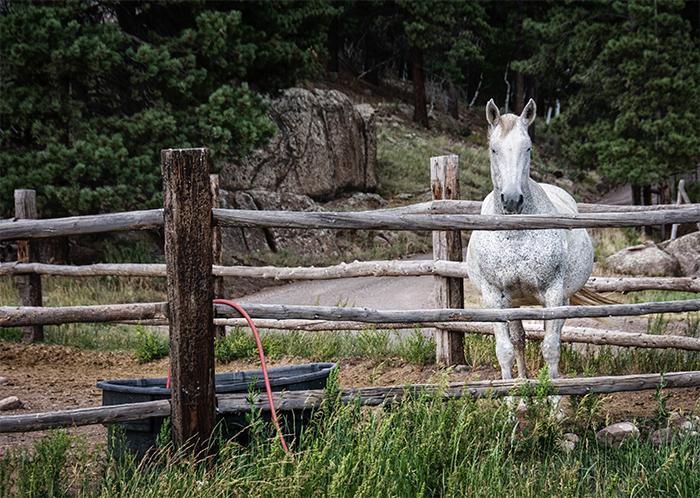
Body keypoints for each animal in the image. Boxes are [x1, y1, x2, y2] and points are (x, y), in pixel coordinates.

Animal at [468, 98, 592, 386]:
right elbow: (505, 350)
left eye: (528, 147)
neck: (515, 235)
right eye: (493, 149)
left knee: (554, 334)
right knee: (519, 340)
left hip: (561, 299)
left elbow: (551, 348)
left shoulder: (553, 294)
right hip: (514, 303)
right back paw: (523, 386)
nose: (512, 200)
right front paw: (510, 397)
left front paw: (555, 398)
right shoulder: (495, 298)